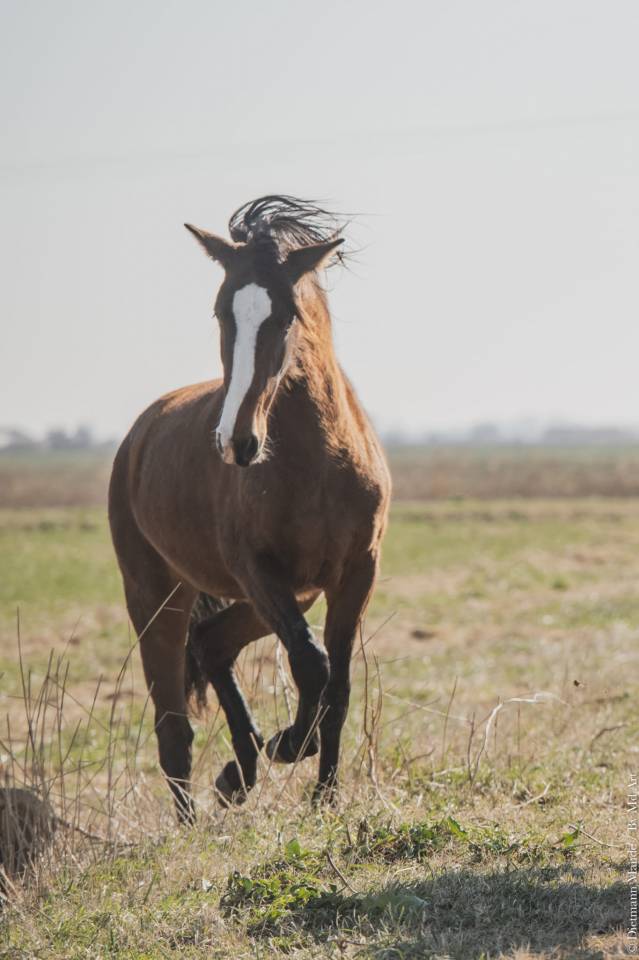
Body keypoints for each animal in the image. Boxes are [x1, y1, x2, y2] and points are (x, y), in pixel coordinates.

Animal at [108, 196, 391, 823]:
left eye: (285, 315)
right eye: (222, 312)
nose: (237, 442)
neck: (315, 464)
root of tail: (139, 434)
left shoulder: (353, 575)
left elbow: (338, 686)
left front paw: (325, 796)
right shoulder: (258, 572)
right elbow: (313, 663)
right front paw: (290, 744)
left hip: (278, 598)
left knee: (213, 644)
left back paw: (238, 774)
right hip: (156, 597)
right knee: (172, 723)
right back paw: (193, 821)